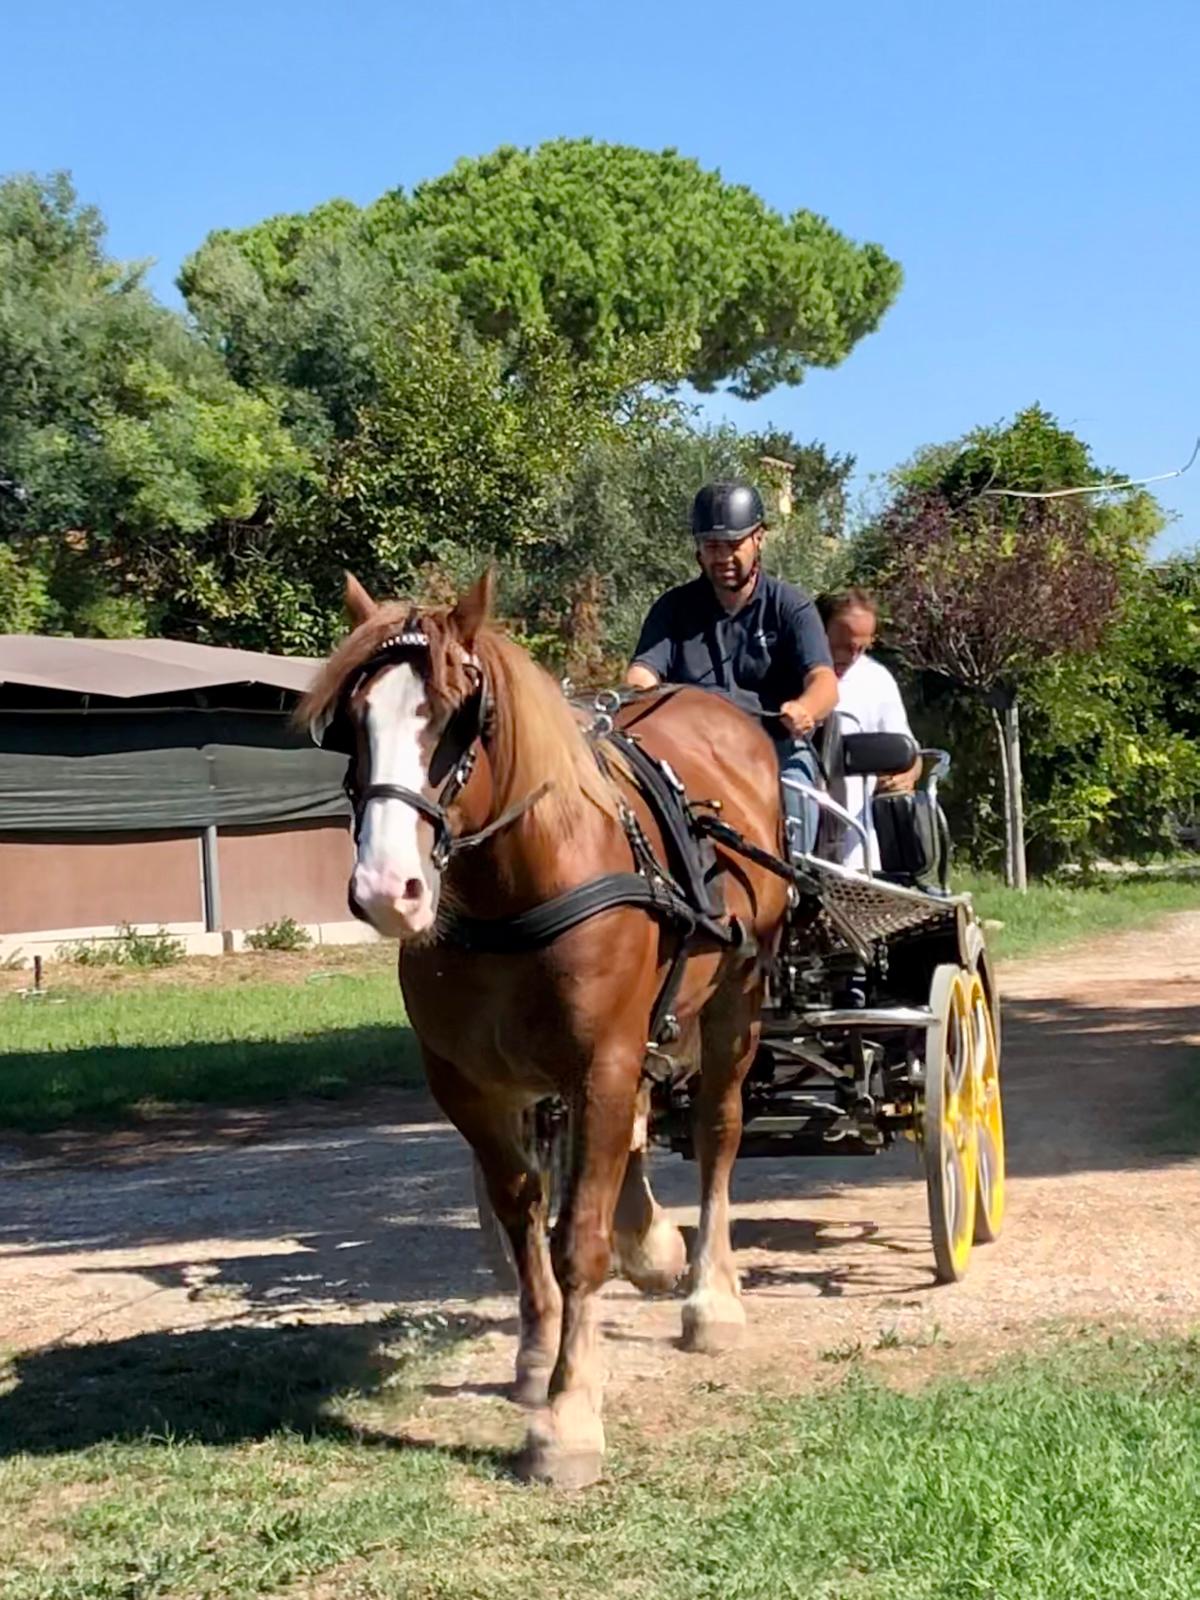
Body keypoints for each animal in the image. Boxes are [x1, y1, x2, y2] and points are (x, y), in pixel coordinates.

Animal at [300, 572, 793, 1484]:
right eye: (351, 723)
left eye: (459, 716)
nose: (388, 889)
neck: (515, 891)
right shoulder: (472, 1085)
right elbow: (522, 1211)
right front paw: (538, 1354)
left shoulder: (598, 1064)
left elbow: (577, 1240)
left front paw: (568, 1417)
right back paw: (652, 1243)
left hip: (736, 998)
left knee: (716, 1129)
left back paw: (710, 1295)